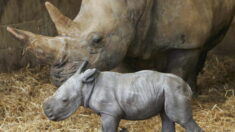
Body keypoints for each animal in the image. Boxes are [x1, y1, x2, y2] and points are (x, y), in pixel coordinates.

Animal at [43, 61, 203, 131]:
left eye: (65, 100)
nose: (47, 113)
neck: (88, 86)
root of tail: (186, 85)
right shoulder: (105, 113)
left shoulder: (110, 112)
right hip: (168, 91)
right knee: (167, 117)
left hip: (174, 91)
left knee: (181, 119)